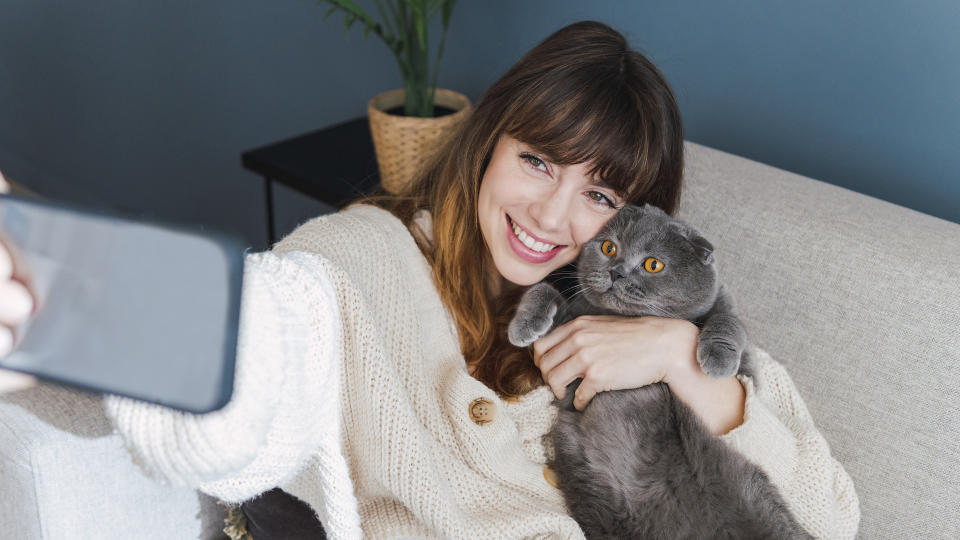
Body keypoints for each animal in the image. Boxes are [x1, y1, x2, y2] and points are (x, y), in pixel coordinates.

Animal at [506, 205, 812, 536]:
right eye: (608, 247)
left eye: (653, 264)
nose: (616, 271)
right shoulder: (569, 326)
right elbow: (541, 288)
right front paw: (523, 325)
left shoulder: (729, 321)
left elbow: (730, 323)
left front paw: (718, 359)